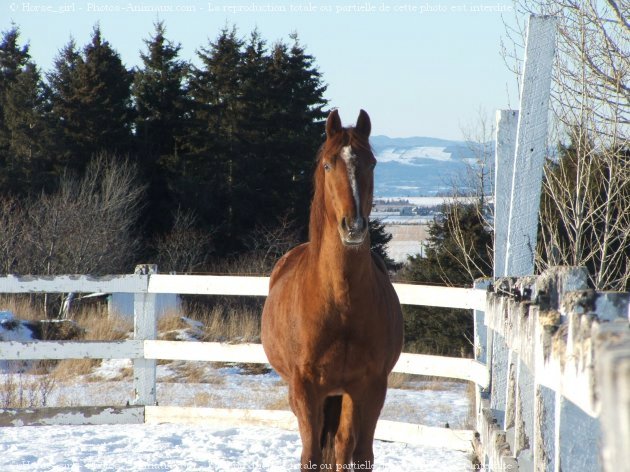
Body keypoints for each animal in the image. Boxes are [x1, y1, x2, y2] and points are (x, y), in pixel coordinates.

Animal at [262, 109, 404, 468]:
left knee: (349, 445)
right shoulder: (305, 387)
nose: (353, 226)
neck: (341, 302)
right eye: (328, 165)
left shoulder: (369, 384)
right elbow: (311, 454)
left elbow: (354, 450)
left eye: (372, 163)